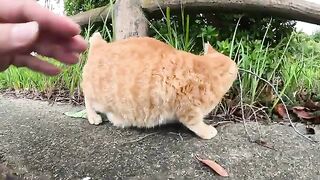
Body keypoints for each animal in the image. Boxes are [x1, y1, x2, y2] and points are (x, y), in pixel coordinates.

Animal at [82, 32, 238, 139]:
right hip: (98, 95)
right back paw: (93, 117)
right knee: (87, 99)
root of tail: (100, 46)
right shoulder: (187, 108)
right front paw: (207, 131)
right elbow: (195, 123)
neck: (207, 70)